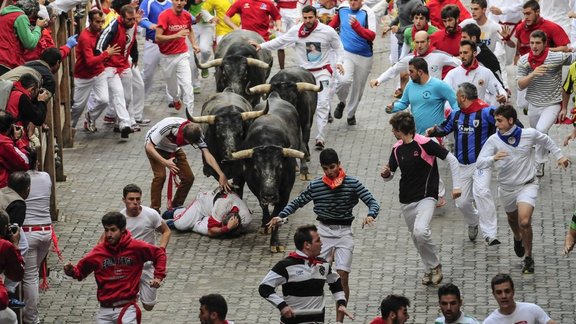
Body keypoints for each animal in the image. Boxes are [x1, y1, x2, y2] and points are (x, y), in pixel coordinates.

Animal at [231, 92, 306, 252]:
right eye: (255, 168)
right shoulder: (256, 188)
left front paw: (275, 242)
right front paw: (265, 225)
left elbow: (277, 214)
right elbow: (263, 206)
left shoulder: (285, 193)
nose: (269, 195)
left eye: (280, 167)